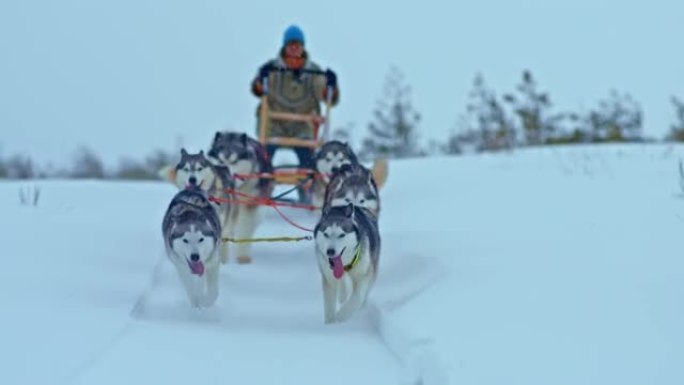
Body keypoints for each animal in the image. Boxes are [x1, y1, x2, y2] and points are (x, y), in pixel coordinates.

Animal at [207, 130, 274, 262]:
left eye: (234, 162)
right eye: (222, 162)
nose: (226, 176)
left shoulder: (249, 206)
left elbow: (245, 228)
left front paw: (243, 256)